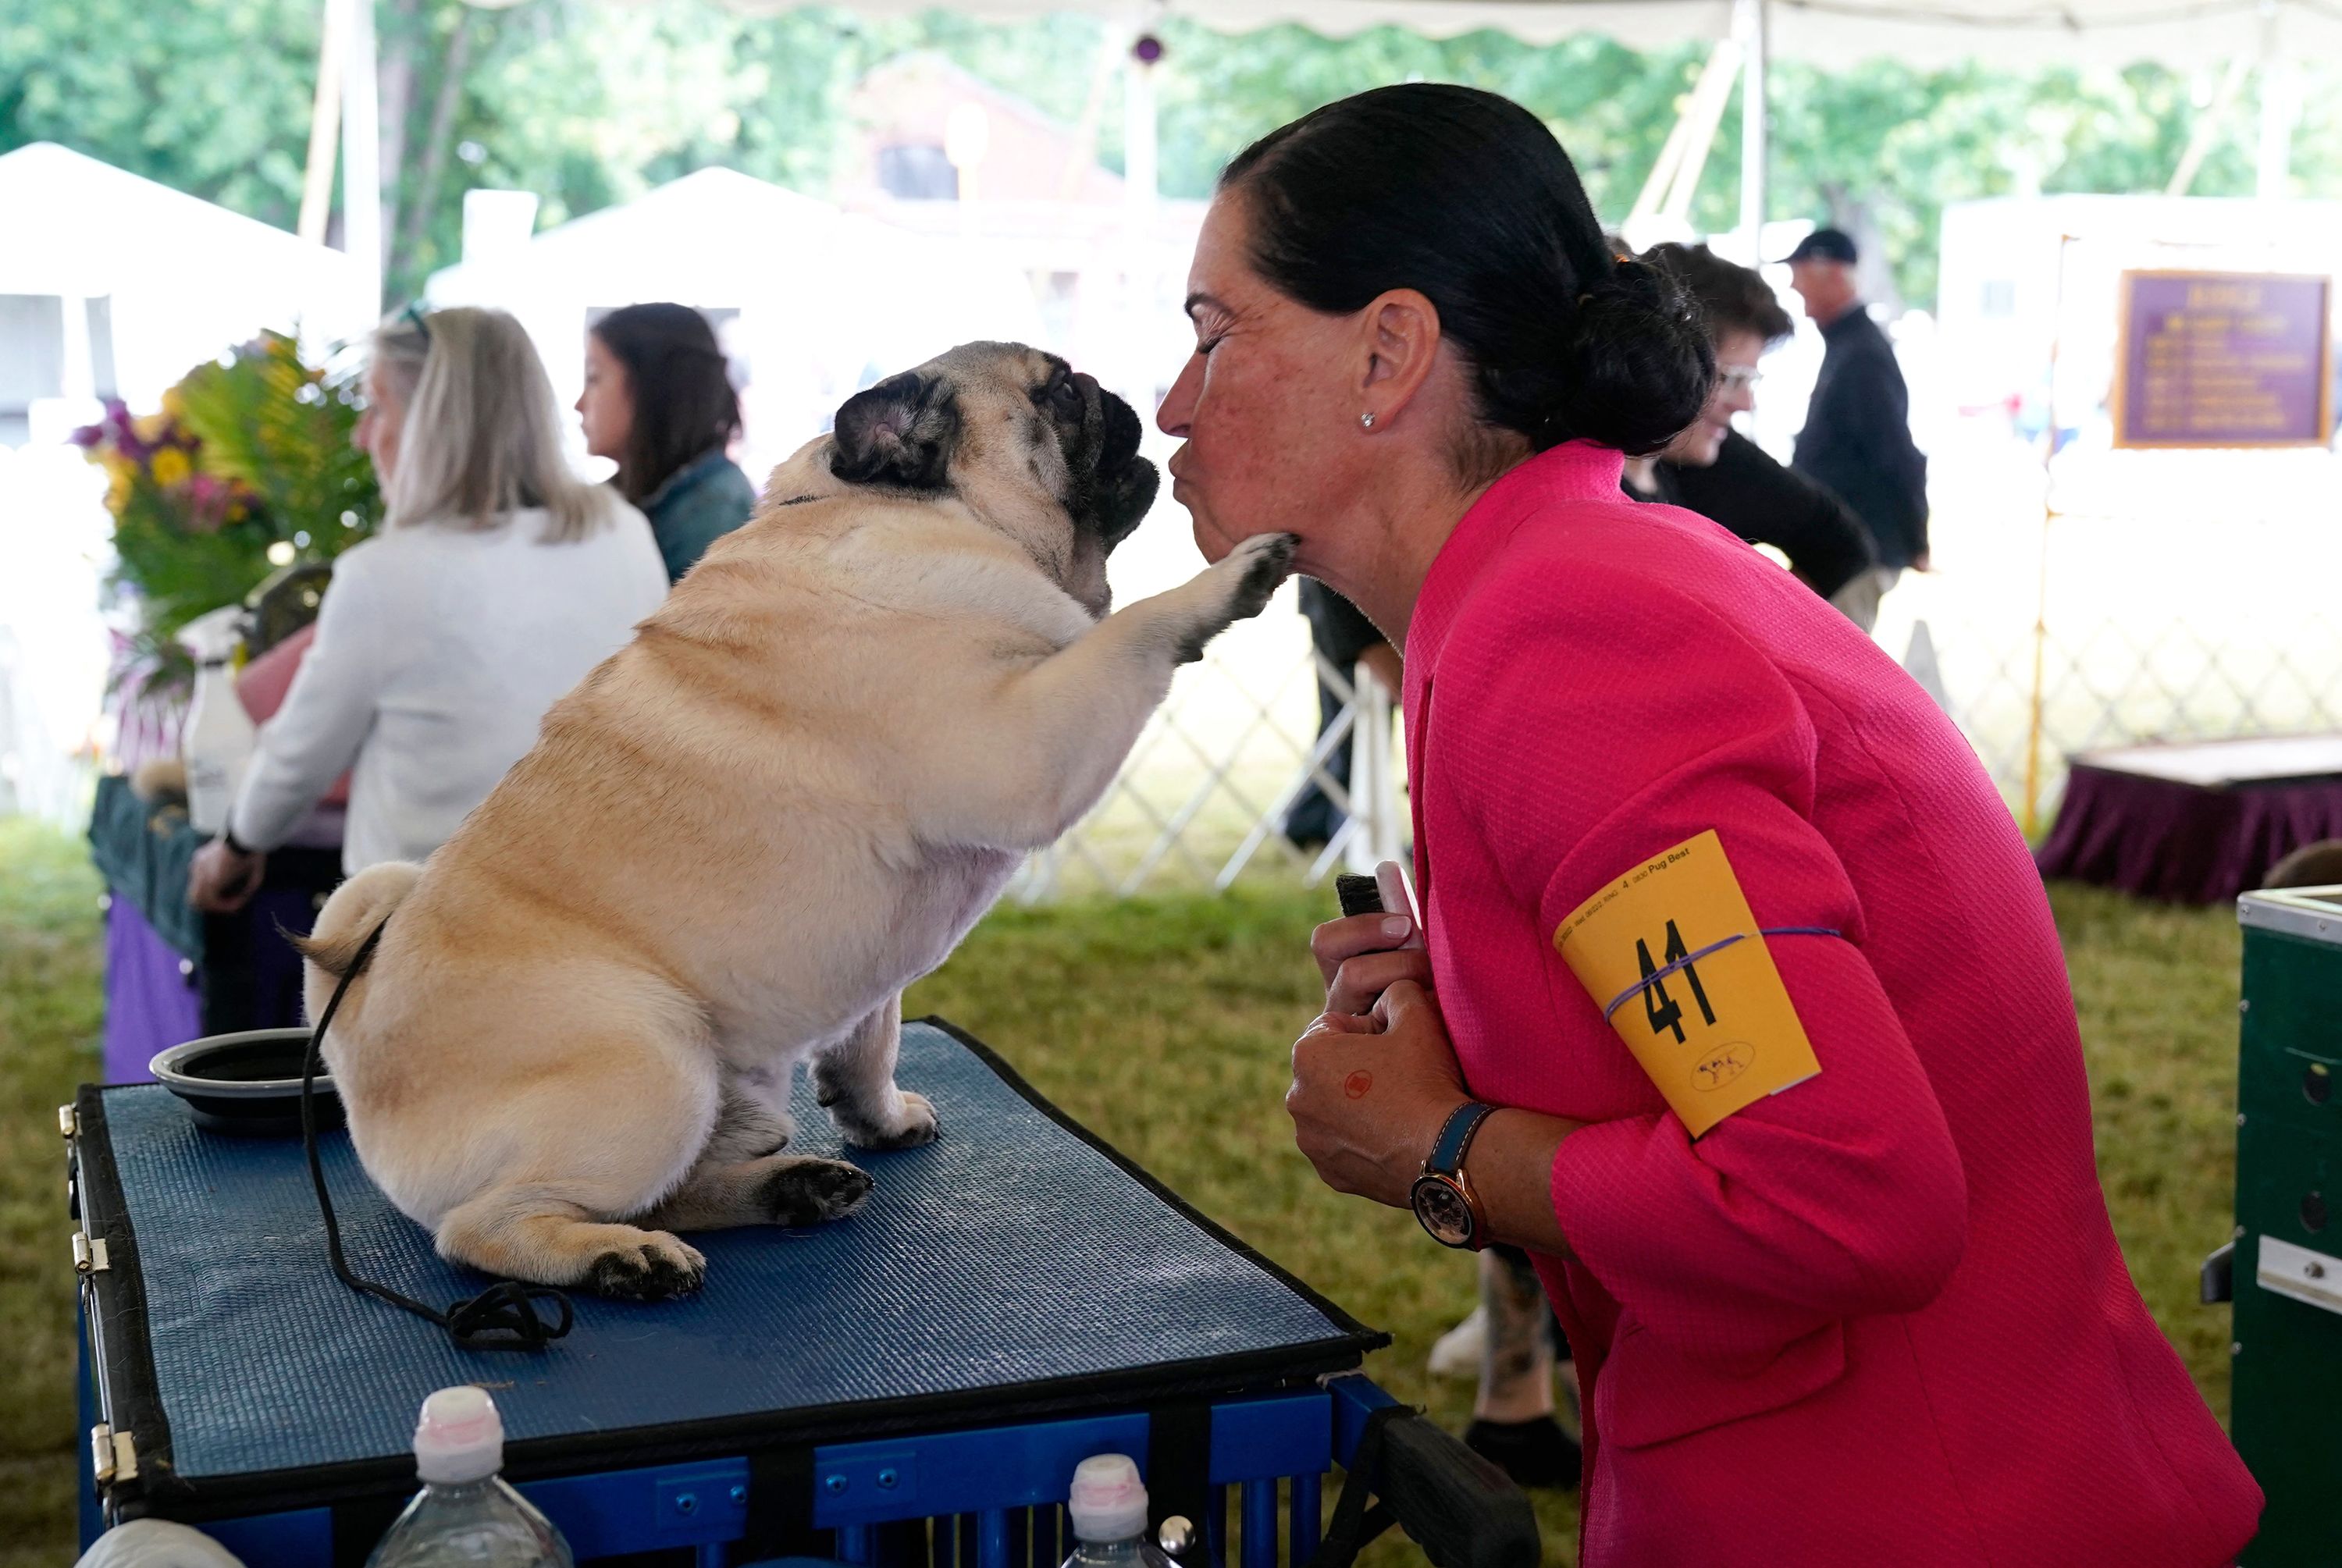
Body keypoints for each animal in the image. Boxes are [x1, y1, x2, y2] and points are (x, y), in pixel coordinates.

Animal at [302, 343, 1302, 1301]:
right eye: (1054, 392)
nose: (1115, 392)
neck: (924, 513)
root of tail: (352, 1043)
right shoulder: (1026, 746)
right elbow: (1134, 630)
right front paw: (1227, 579)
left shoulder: (880, 976)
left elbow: (873, 1040)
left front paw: (880, 1118)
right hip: (654, 1064)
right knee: (484, 1227)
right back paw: (620, 1258)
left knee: (671, 1187)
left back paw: (787, 1188)